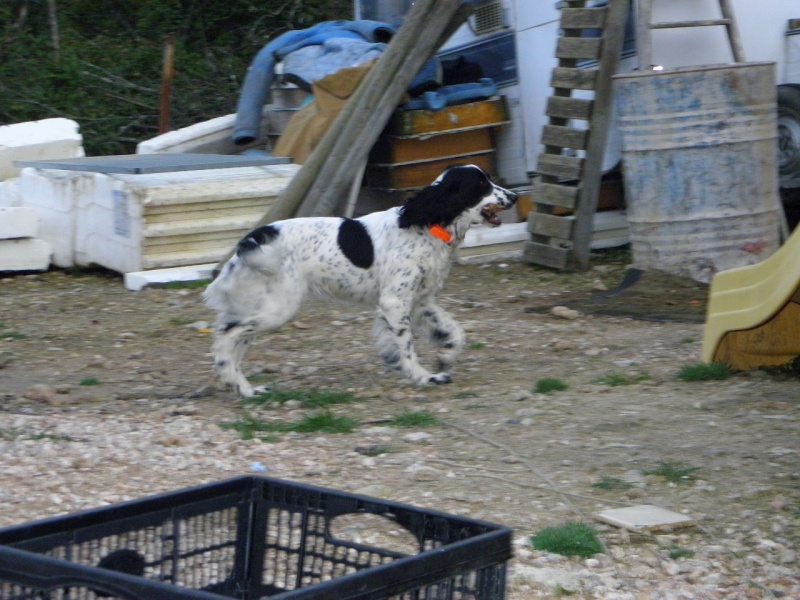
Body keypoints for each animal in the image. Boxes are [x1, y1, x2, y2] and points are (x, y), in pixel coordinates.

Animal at [205, 165, 520, 398]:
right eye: (481, 185)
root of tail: (253, 238)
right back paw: (234, 380)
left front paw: (444, 357)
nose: (515, 196)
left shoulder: (420, 302)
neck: (426, 226)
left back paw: (243, 388)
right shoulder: (395, 302)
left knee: (234, 339)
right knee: (226, 336)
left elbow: (455, 332)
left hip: (261, 307)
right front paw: (422, 376)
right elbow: (408, 347)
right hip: (278, 309)